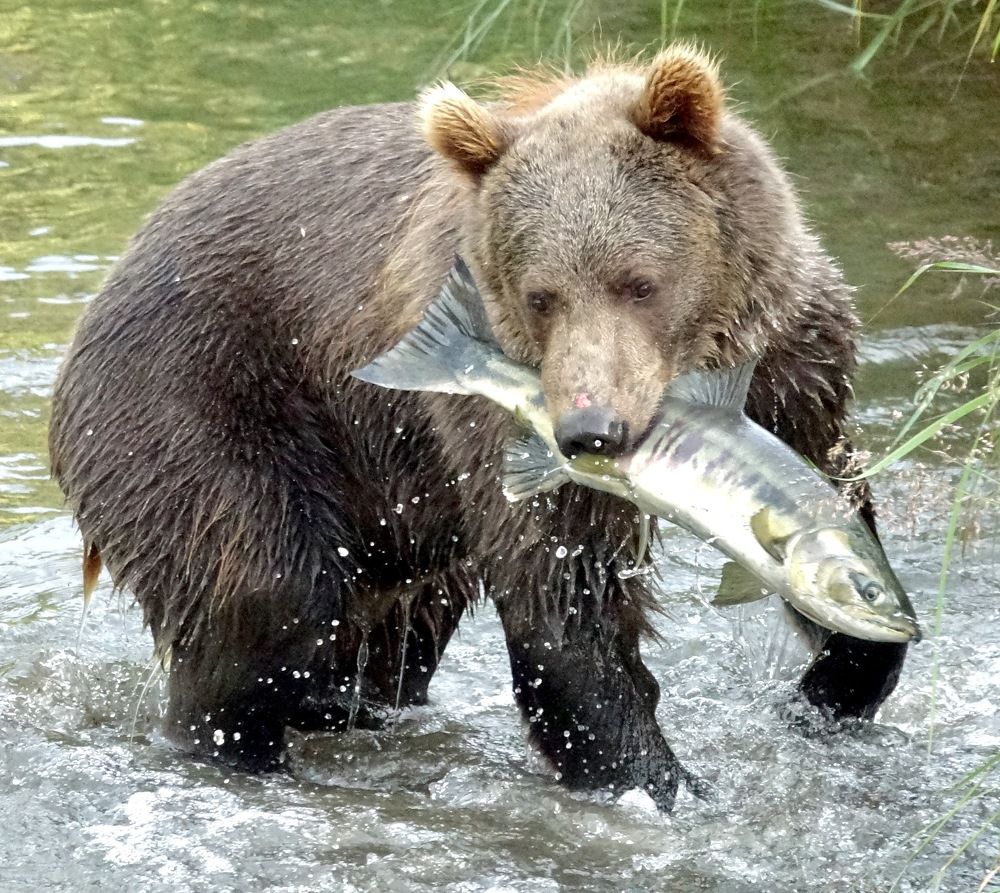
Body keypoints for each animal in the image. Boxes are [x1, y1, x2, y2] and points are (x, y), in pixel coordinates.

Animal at [49, 45, 908, 810]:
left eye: (638, 282)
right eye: (541, 295)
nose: (592, 429)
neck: (710, 359)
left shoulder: (798, 367)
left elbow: (834, 497)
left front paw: (832, 684)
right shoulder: (494, 419)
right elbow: (562, 595)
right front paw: (661, 780)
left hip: (384, 495)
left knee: (395, 629)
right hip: (195, 405)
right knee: (263, 592)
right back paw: (239, 748)